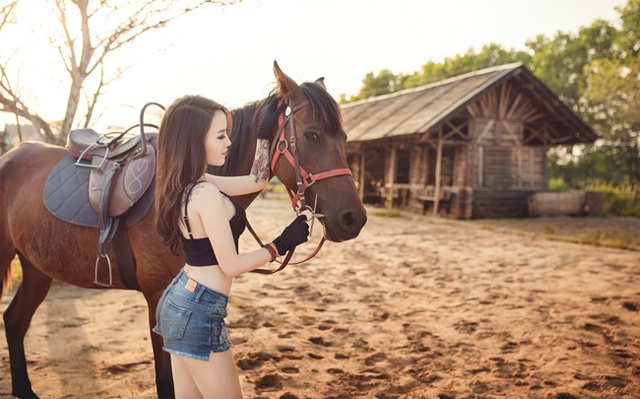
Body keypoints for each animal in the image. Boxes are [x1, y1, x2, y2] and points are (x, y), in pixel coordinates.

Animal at [0, 62, 364, 399]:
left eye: (344, 138)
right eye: (312, 135)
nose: (354, 218)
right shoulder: (156, 297)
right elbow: (166, 382)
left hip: (37, 267)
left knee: (15, 321)